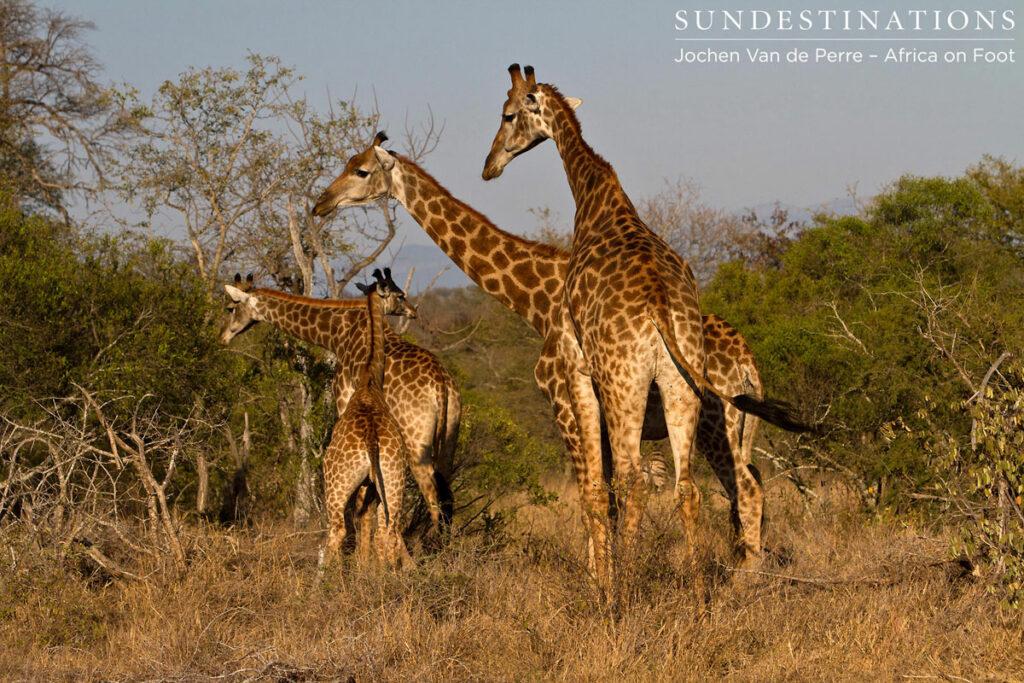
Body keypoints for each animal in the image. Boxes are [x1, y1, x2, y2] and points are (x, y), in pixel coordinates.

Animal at [219, 273, 460, 544]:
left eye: (230, 308)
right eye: (400, 295)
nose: (222, 337)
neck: (336, 333)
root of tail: (440, 383)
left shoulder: (344, 399)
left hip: (416, 442)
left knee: (431, 494)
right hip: (449, 435)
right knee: (446, 493)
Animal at [312, 134, 779, 567]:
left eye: (361, 170)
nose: (321, 203)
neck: (536, 301)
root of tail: (748, 364)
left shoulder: (563, 400)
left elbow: (595, 495)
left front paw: (598, 578)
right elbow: (605, 497)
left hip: (715, 423)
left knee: (746, 490)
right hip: (737, 428)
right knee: (749, 487)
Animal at [480, 64, 808, 585]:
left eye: (508, 114)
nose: (489, 165)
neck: (596, 197)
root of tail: (656, 308)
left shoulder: (577, 365)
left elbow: (601, 487)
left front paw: (603, 579)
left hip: (625, 386)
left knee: (637, 480)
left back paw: (626, 588)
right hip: (681, 386)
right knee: (689, 488)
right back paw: (696, 587)